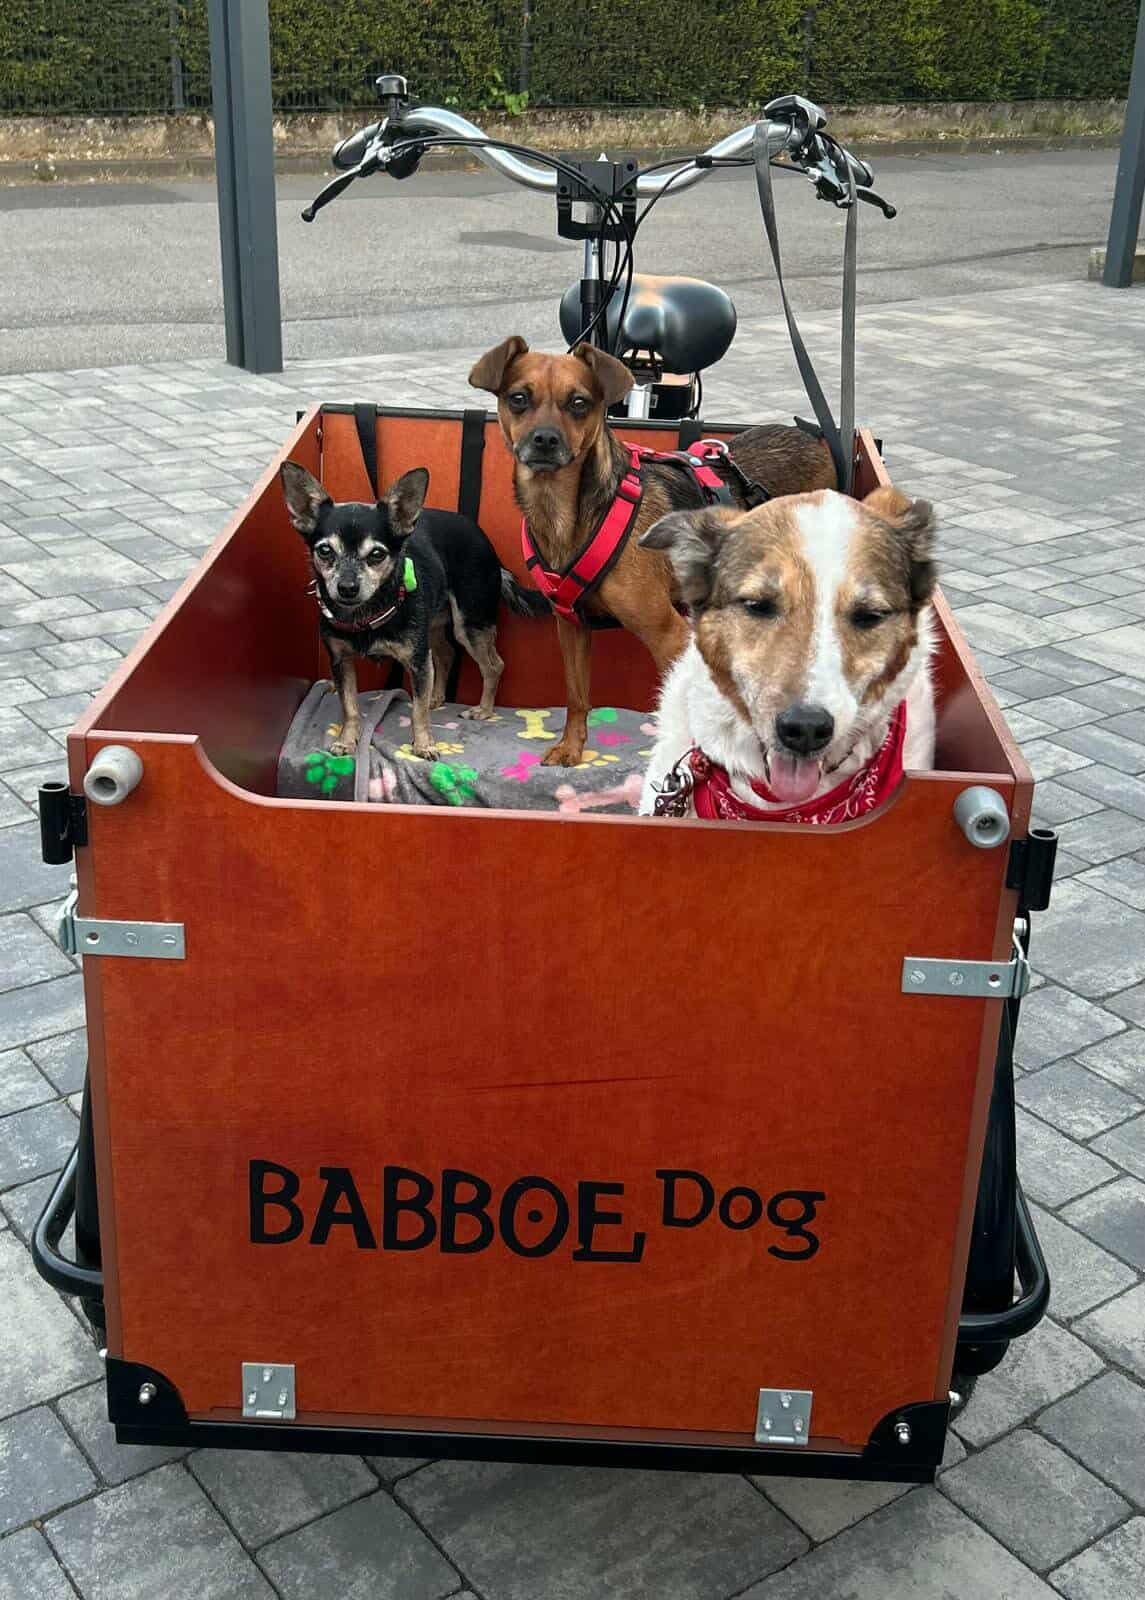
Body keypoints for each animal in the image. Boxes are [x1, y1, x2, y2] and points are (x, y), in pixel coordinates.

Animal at [281, 461, 543, 761]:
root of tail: (487, 545)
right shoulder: (341, 661)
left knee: (493, 665)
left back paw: (484, 710)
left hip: (469, 623)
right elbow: (349, 707)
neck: (365, 614)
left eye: (377, 554)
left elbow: (417, 711)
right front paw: (347, 741)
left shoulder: (417, 661)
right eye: (325, 551)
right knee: (446, 654)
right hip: (434, 623)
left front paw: (424, 745)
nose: (347, 588)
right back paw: (436, 697)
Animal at [468, 336, 837, 767]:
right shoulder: (571, 627)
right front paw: (572, 747)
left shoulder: (668, 635)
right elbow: (577, 695)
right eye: (518, 398)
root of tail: (812, 438)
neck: (567, 510)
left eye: (578, 403)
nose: (545, 439)